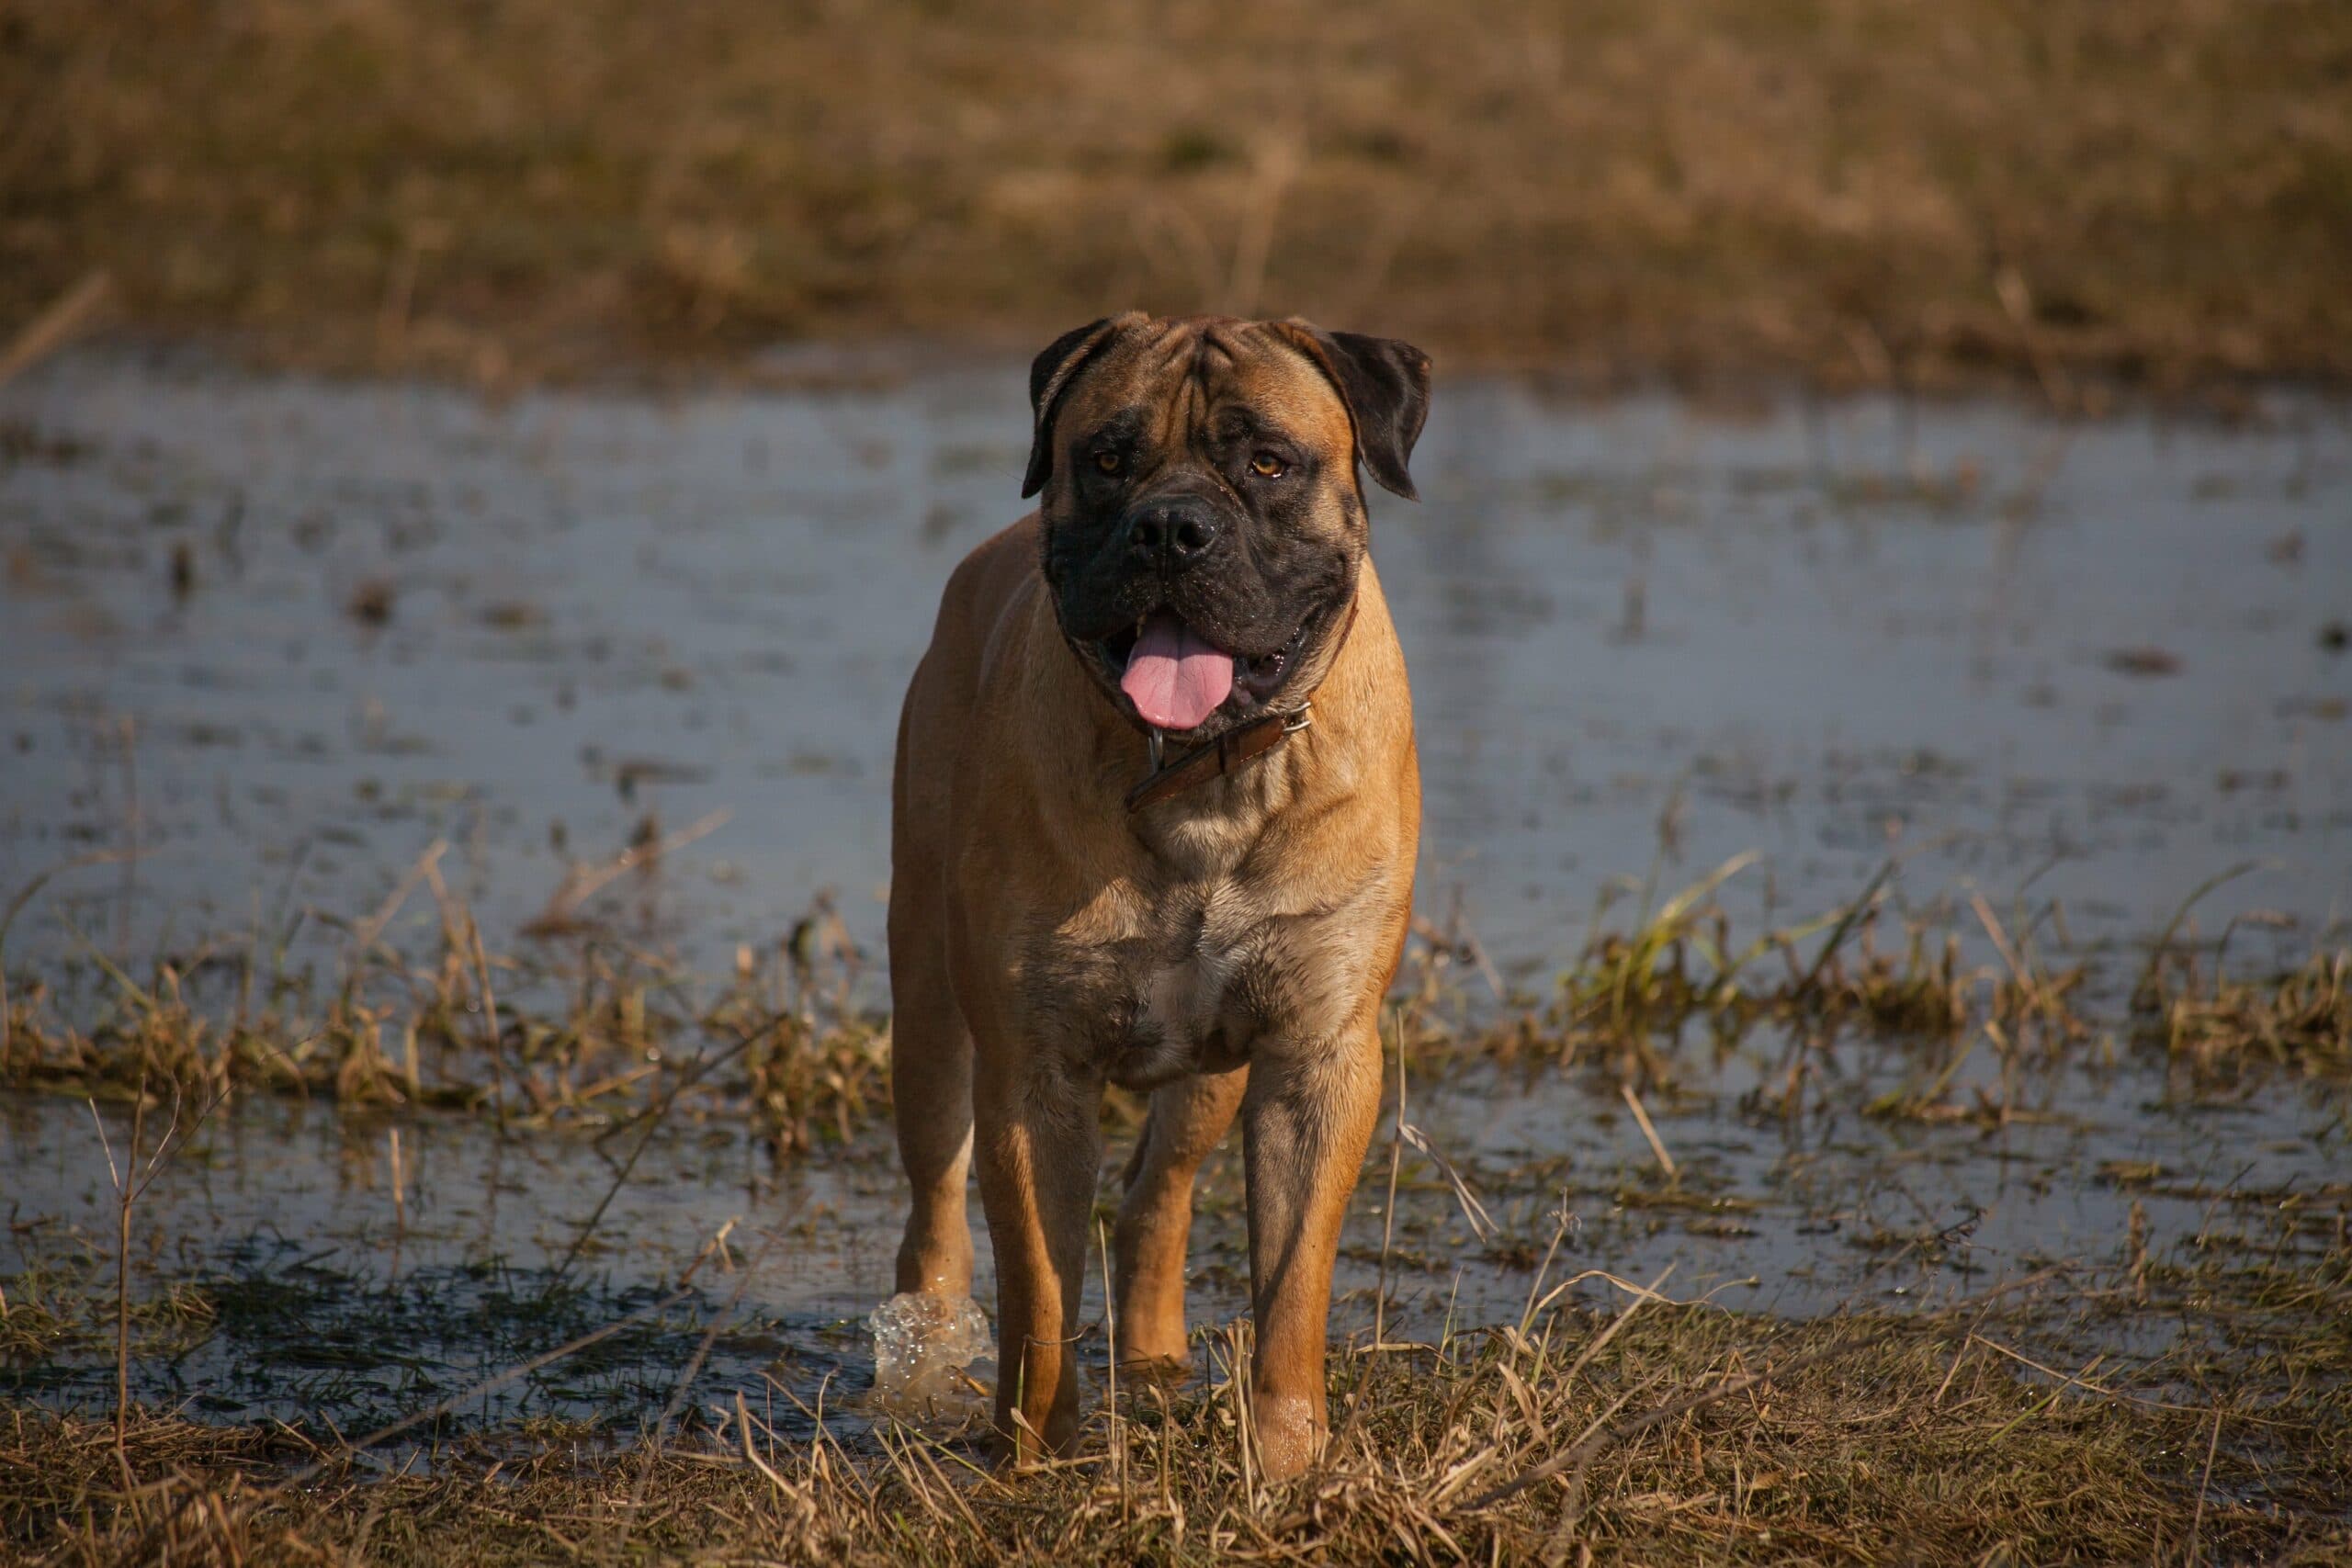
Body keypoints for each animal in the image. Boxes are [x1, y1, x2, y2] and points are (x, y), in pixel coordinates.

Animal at [884, 312, 1420, 1476]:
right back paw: (924, 1357)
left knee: (1155, 1201)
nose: (1170, 529)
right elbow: (1039, 1286)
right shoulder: (1030, 1072)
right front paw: (1035, 1452)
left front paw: (1288, 1455)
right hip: (928, 1014)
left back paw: (1156, 1356)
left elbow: (1292, 1282)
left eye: (1268, 461)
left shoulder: (1316, 1056)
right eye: (1107, 458)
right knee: (936, 1213)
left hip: (1210, 1073)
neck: (1200, 778)